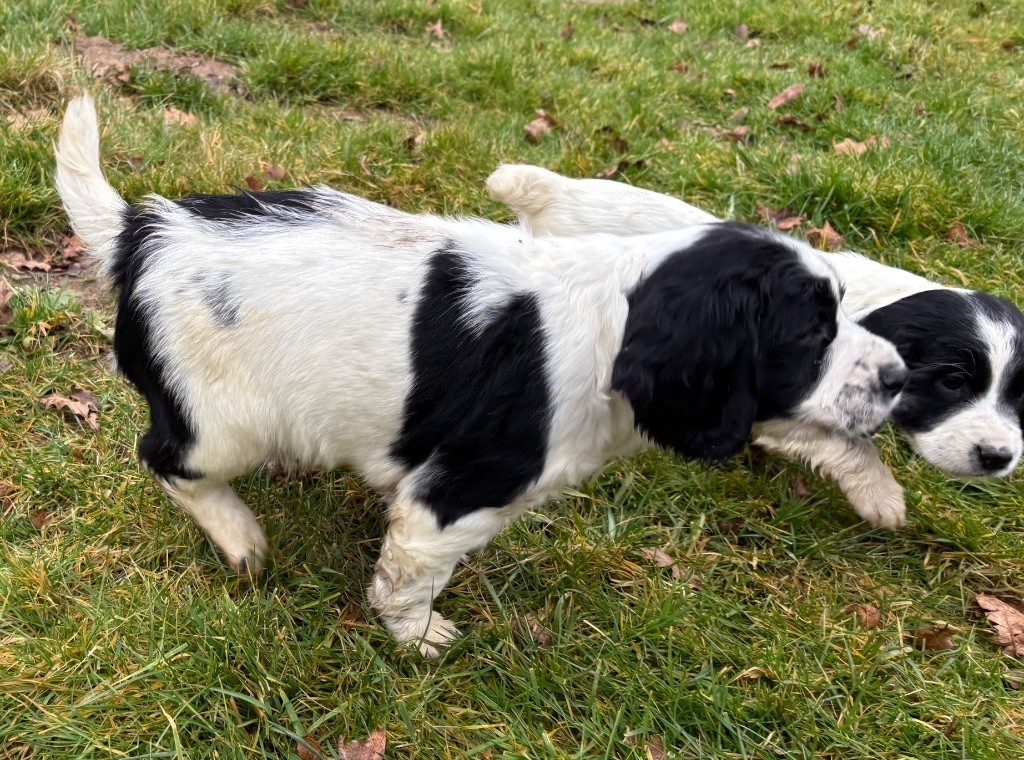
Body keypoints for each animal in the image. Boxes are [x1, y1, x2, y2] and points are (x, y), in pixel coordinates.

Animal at [54, 98, 905, 659]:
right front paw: (419, 636)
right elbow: (411, 570)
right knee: (167, 460)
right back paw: (241, 539)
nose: (899, 374)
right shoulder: (457, 492)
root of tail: (142, 234)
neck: (614, 316)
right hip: (219, 420)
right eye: (812, 333)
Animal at [485, 163, 1024, 528]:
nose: (999, 457)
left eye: (1018, 396)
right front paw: (882, 498)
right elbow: (847, 444)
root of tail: (555, 189)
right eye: (952, 383)